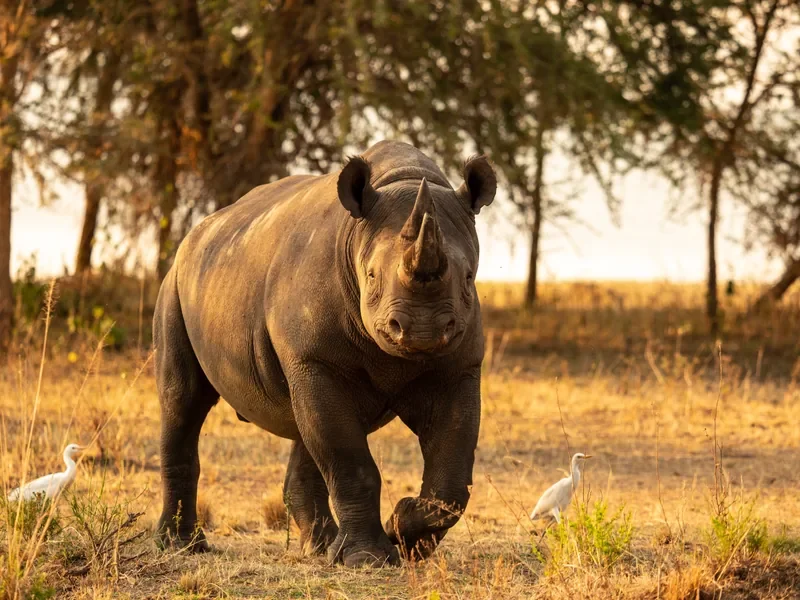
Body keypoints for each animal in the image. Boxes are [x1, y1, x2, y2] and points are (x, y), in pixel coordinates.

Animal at [153, 140, 497, 567]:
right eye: (371, 276)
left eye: (468, 277)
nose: (422, 329)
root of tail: (194, 236)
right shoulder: (316, 358)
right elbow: (348, 459)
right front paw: (369, 558)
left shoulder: (458, 367)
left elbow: (452, 474)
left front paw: (402, 529)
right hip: (175, 284)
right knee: (183, 400)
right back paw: (182, 545)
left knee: (304, 424)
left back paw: (320, 548)